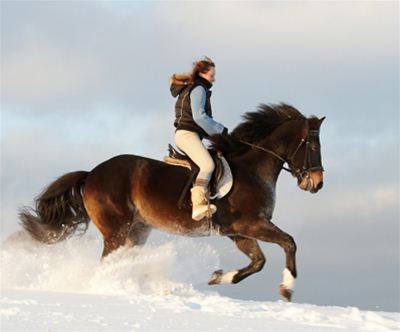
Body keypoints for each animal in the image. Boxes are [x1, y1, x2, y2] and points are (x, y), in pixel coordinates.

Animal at [19, 103, 324, 300]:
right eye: (312, 145)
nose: (317, 183)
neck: (253, 169)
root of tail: (92, 173)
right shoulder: (251, 224)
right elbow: (289, 243)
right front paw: (287, 289)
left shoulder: (237, 232)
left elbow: (258, 262)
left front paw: (217, 277)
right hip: (116, 231)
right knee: (107, 264)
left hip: (138, 231)